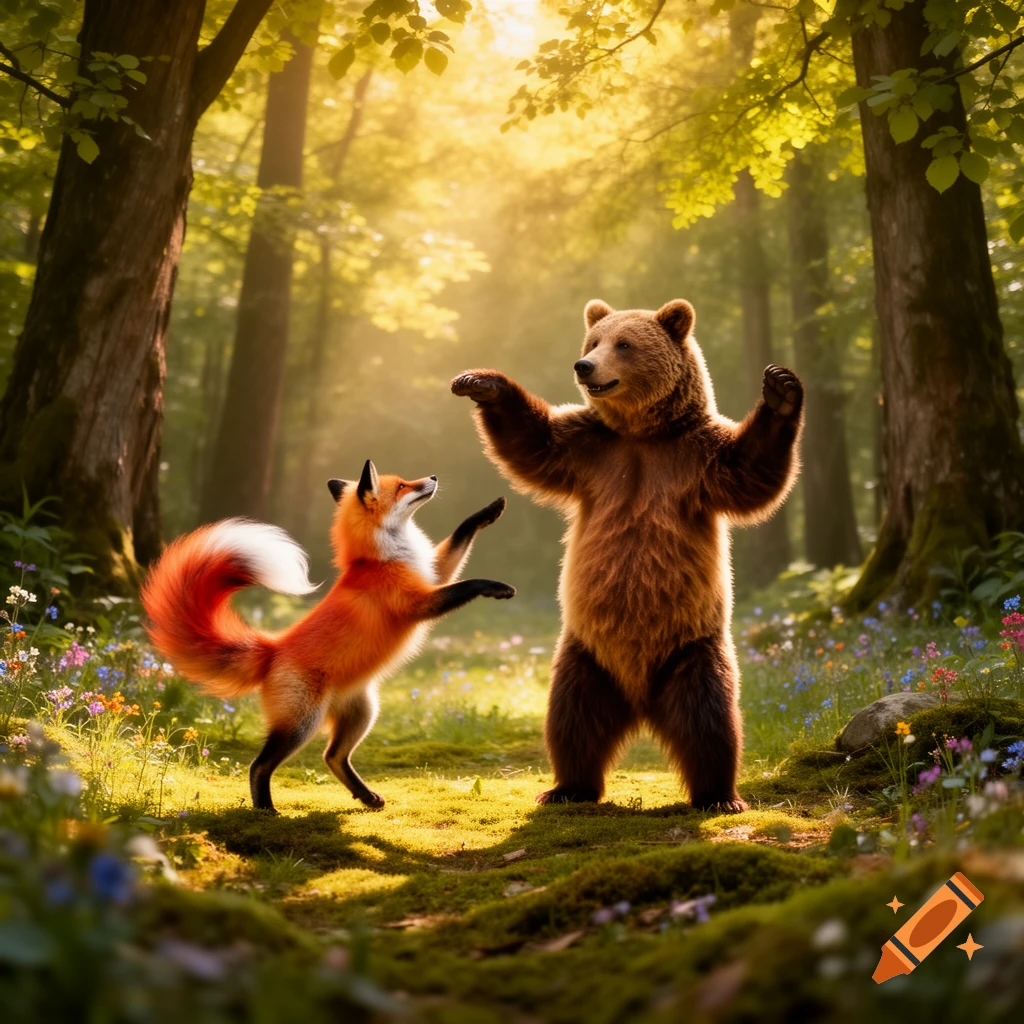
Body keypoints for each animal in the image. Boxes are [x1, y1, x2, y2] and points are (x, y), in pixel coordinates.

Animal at [141, 460, 514, 813]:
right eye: (402, 486)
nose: (433, 478)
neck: (379, 558)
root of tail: (273, 649)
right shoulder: (417, 603)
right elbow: (466, 585)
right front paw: (495, 587)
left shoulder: (433, 573)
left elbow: (459, 539)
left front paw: (489, 511)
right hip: (302, 723)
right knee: (259, 765)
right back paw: (265, 810)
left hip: (363, 712)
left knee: (332, 756)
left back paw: (365, 796)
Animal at [451, 298, 803, 811]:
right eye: (594, 340)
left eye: (624, 344)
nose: (584, 366)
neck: (640, 433)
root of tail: (640, 701)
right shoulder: (590, 451)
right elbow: (533, 441)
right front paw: (480, 382)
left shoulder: (696, 458)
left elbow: (752, 470)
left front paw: (780, 388)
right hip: (584, 655)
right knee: (571, 719)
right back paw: (567, 787)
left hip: (693, 650)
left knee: (711, 720)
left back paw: (719, 795)